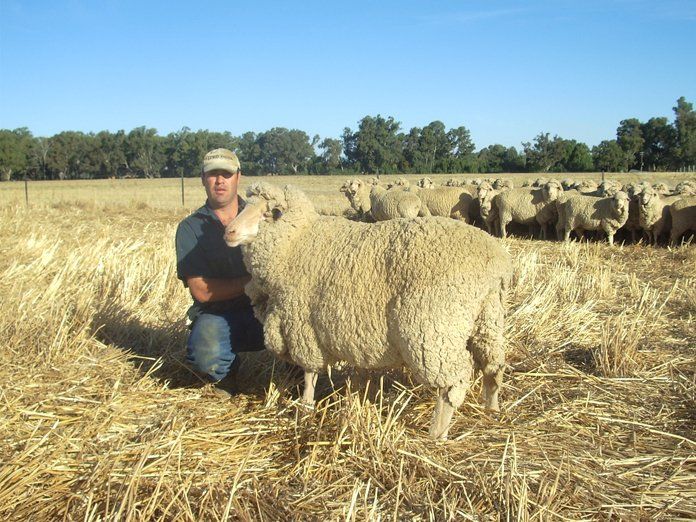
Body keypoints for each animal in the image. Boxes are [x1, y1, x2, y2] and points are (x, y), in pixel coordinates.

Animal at [224, 182, 513, 440]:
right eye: (244, 206)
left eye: (266, 213)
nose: (229, 231)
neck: (295, 243)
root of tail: (496, 260)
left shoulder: (301, 325)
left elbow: (309, 373)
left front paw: (305, 408)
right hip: (488, 318)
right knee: (493, 365)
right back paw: (492, 408)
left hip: (433, 329)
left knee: (453, 382)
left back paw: (436, 433)